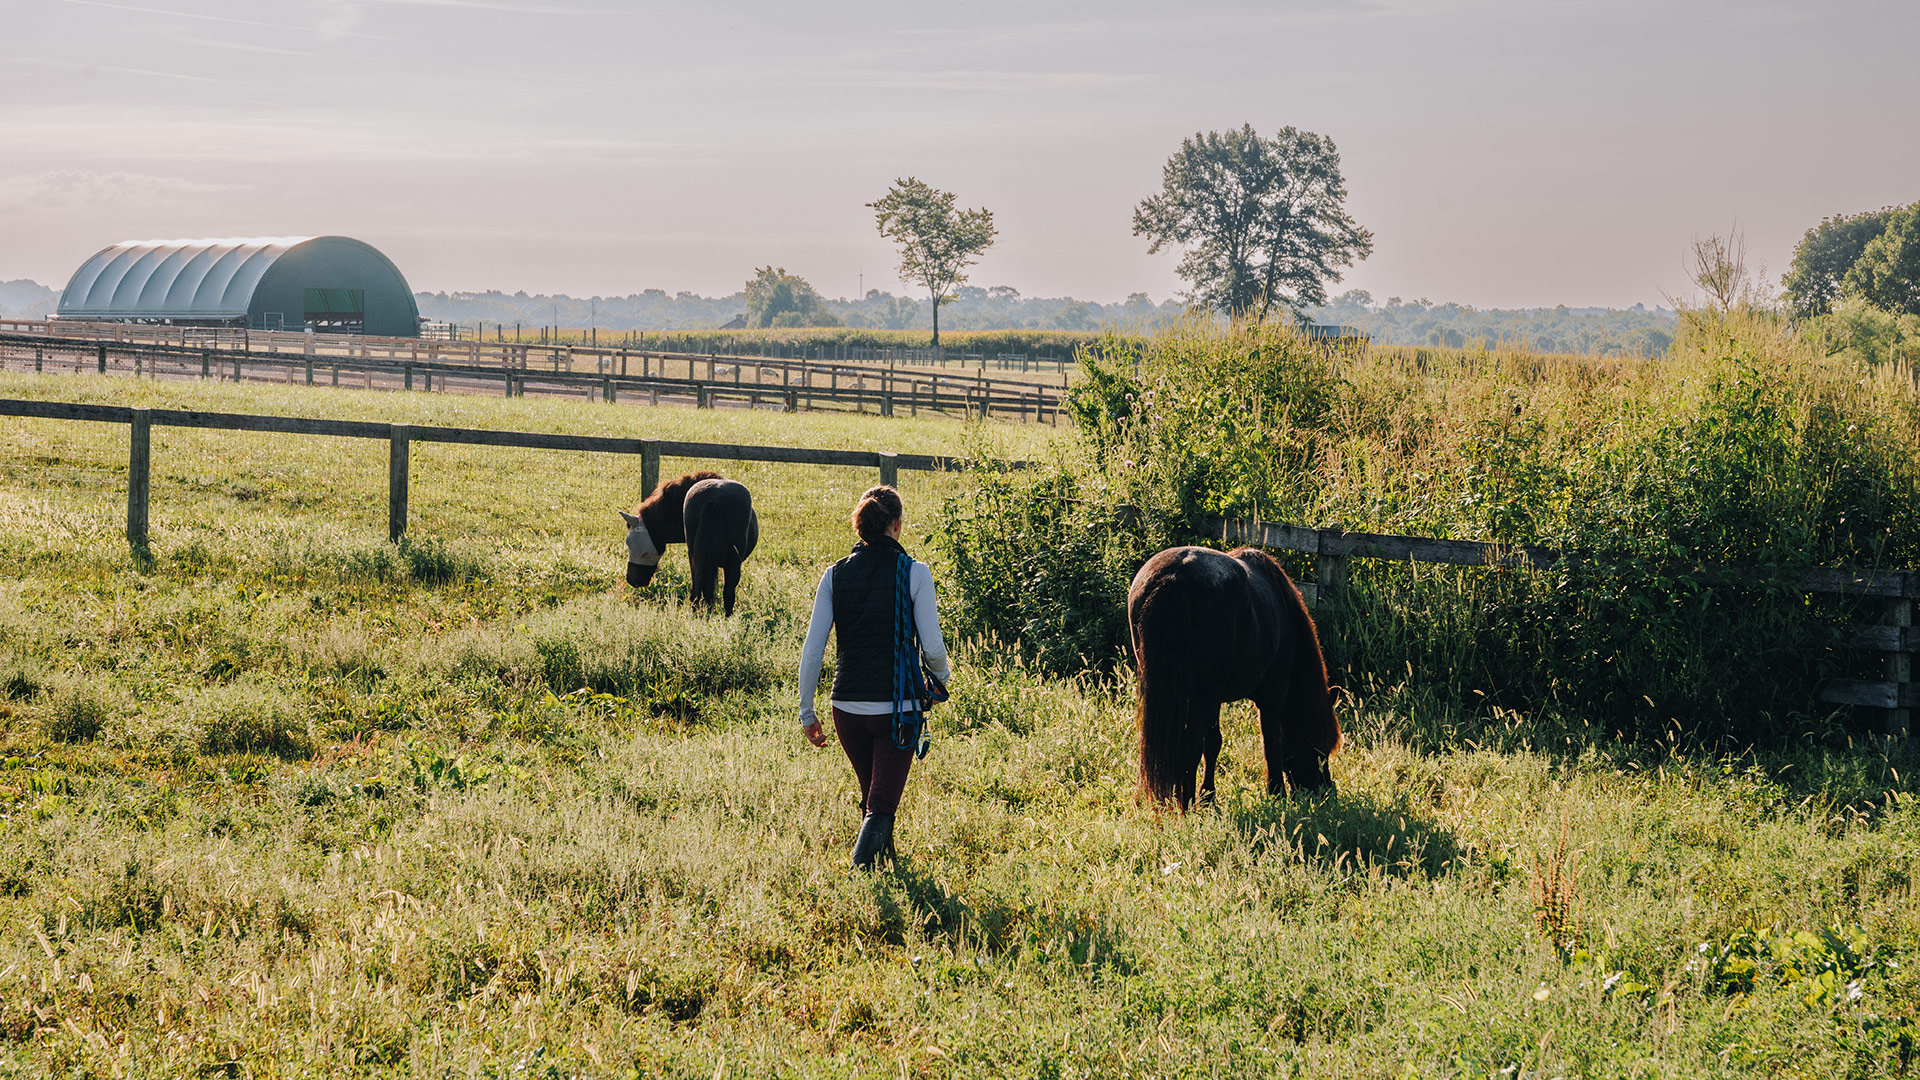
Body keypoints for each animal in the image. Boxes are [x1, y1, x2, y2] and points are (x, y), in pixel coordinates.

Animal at [1128, 545, 1341, 810]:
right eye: (1319, 747)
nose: (1325, 791)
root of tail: (1175, 576)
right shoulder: (1272, 696)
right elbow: (1272, 743)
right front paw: (1276, 793)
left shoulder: (1215, 699)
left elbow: (1214, 743)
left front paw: (1208, 796)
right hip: (1204, 694)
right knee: (1191, 745)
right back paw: (1186, 804)